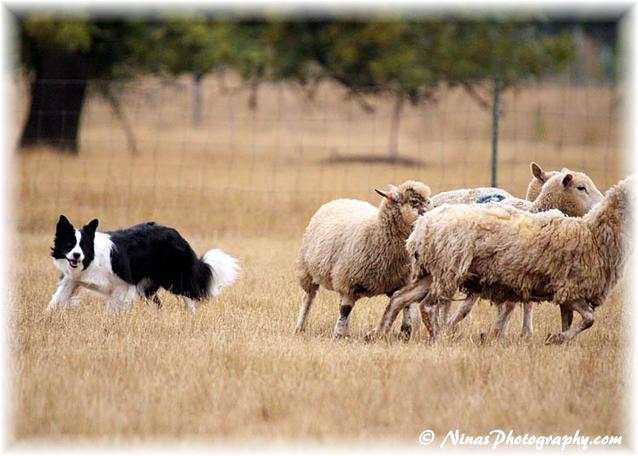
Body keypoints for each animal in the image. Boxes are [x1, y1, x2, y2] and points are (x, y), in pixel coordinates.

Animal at [48, 216, 241, 310]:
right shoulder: (71, 281)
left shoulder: (122, 285)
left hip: (174, 279)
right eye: (69, 244)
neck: (91, 259)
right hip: (146, 287)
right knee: (158, 305)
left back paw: (190, 315)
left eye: (83, 246)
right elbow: (55, 301)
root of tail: (177, 234)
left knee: (190, 295)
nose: (76, 255)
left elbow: (112, 310)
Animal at [296, 181, 436, 338]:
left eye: (428, 201)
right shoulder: (348, 282)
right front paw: (337, 336)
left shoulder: (402, 281)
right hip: (308, 271)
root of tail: (342, 199)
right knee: (309, 298)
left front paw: (406, 332)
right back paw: (300, 327)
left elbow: (405, 303)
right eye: (415, 201)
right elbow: (345, 310)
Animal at [372, 175, 632, 346]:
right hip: (448, 270)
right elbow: (588, 319)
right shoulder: (570, 289)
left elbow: (567, 320)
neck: (593, 232)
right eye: (581, 187)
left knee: (400, 297)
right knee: (428, 305)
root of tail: (422, 227)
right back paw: (437, 336)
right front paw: (553, 338)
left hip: (432, 272)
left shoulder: (560, 290)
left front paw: (557, 341)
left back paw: (380, 332)